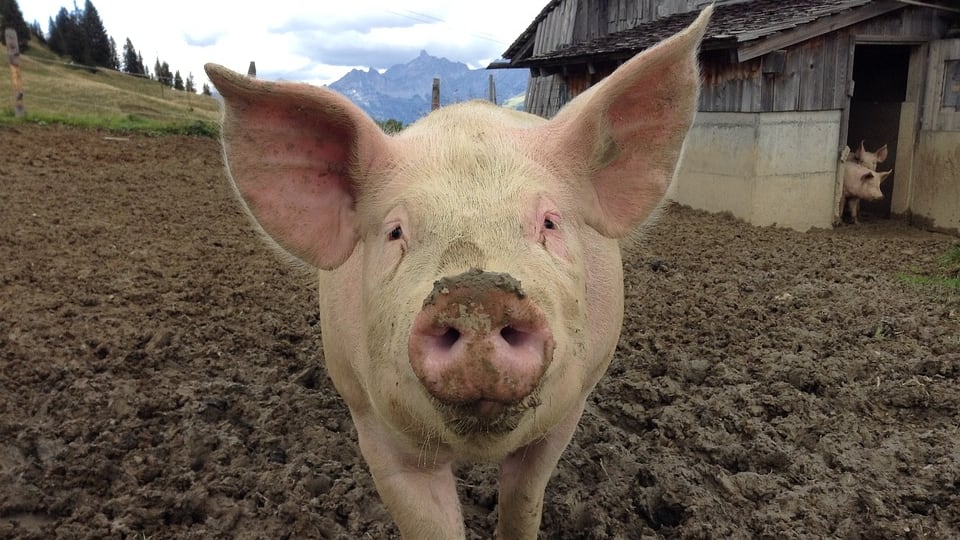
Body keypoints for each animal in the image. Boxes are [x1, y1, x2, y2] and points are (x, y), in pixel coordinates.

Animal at [204, 7, 711, 539]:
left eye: (549, 222)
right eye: (395, 232)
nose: (477, 293)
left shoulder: (566, 411)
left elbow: (523, 501)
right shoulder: (375, 426)